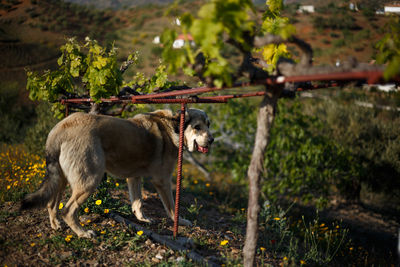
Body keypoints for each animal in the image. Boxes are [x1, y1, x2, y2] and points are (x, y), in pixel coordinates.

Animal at [20, 109, 214, 239]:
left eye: (208, 124)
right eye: (197, 127)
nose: (212, 140)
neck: (173, 126)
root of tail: (60, 128)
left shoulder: (134, 177)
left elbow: (138, 203)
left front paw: (142, 219)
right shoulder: (163, 181)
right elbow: (172, 208)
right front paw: (179, 222)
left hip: (61, 178)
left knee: (51, 204)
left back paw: (55, 225)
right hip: (90, 180)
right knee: (68, 210)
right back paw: (82, 233)